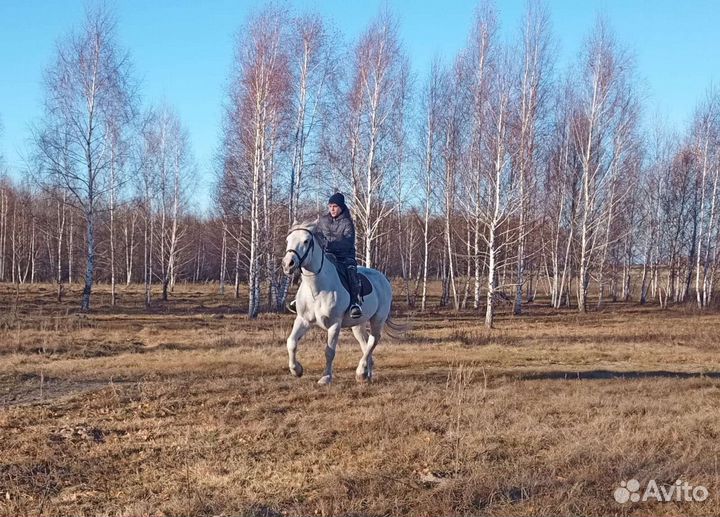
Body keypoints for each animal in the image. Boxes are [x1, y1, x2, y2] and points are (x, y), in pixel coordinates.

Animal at [281, 223, 404, 384]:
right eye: (288, 239)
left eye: (306, 241)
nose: (287, 264)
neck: (317, 289)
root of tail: (383, 279)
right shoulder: (303, 320)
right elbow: (291, 342)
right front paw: (296, 370)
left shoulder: (334, 324)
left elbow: (329, 351)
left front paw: (326, 377)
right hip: (358, 324)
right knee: (365, 343)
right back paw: (367, 374)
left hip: (378, 319)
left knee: (373, 340)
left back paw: (361, 372)